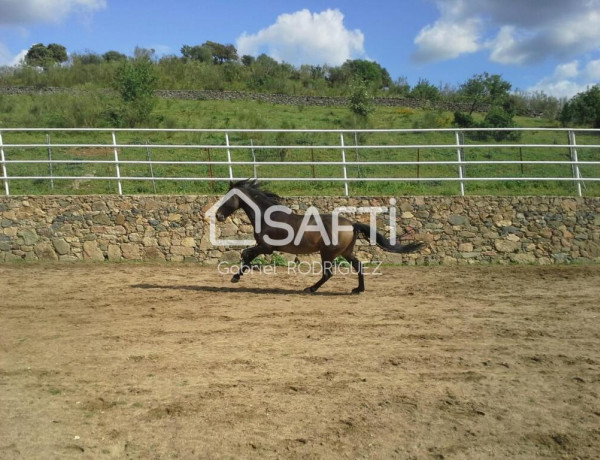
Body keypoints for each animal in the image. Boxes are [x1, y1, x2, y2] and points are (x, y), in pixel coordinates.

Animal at [213, 180, 424, 294]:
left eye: (227, 198)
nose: (218, 216)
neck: (267, 215)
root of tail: (352, 224)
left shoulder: (267, 247)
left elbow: (245, 254)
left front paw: (236, 277)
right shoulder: (265, 248)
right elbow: (246, 255)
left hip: (328, 253)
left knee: (328, 273)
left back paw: (311, 289)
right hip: (345, 252)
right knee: (358, 266)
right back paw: (358, 290)